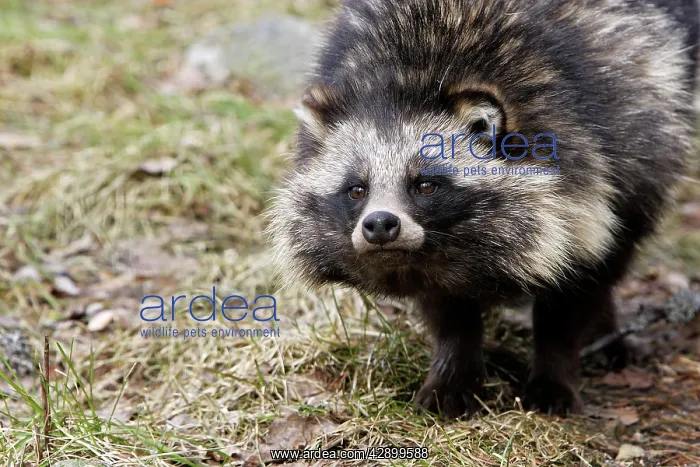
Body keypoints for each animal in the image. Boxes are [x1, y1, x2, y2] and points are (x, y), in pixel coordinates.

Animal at [268, 0, 699, 417]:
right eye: (357, 190)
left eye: (425, 185)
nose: (379, 224)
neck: (404, 82)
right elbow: (448, 310)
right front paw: (454, 372)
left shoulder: (588, 160)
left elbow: (577, 280)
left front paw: (554, 370)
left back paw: (605, 329)